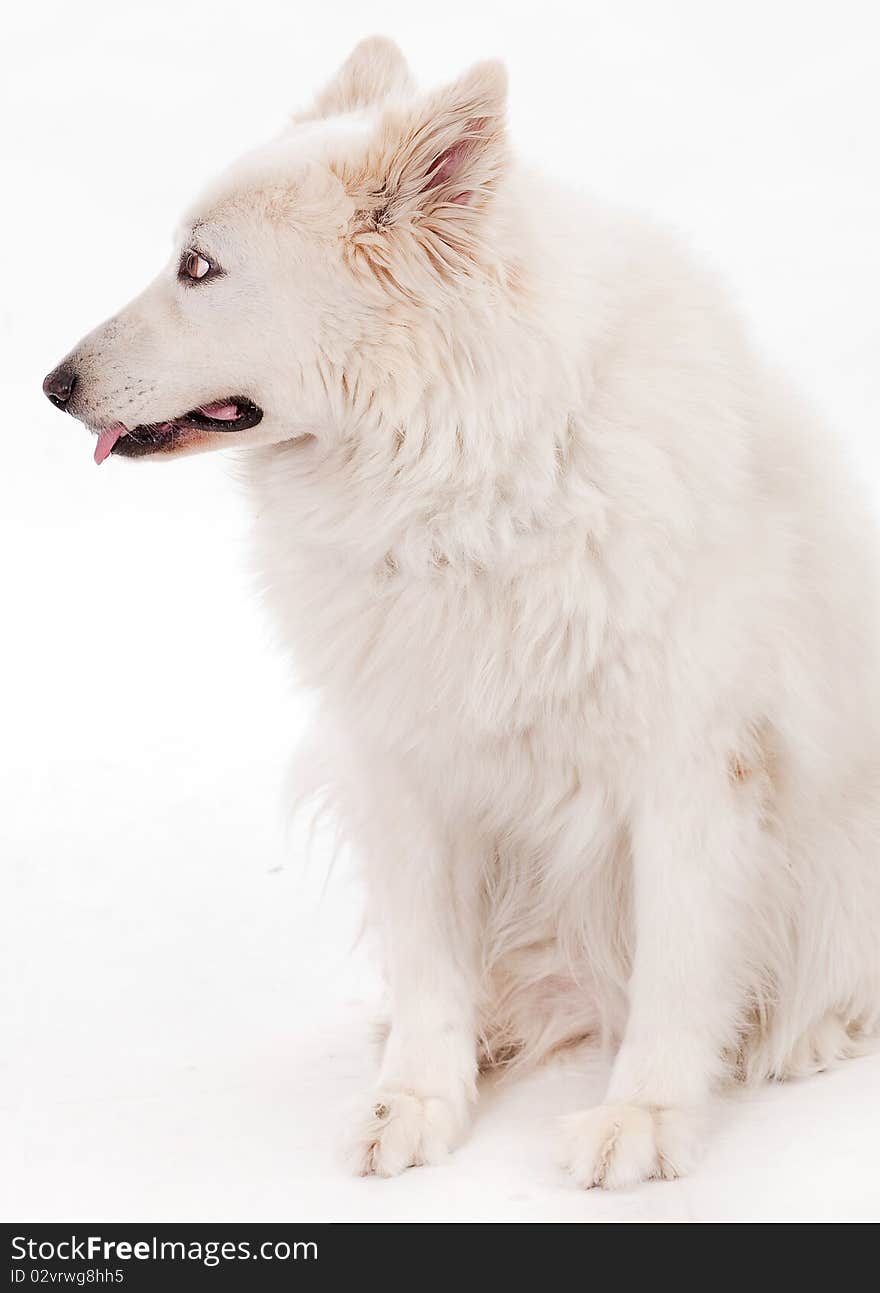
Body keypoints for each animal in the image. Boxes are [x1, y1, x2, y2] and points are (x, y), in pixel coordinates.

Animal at [44, 37, 873, 1189]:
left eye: (199, 268)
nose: (50, 384)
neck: (468, 476)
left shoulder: (690, 767)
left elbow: (674, 969)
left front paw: (644, 1114)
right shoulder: (400, 762)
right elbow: (429, 960)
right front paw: (418, 1098)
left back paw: (810, 1030)